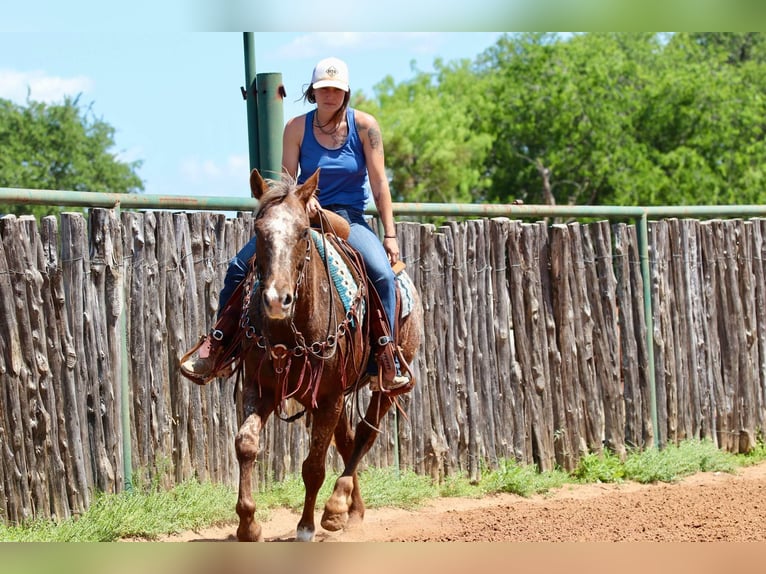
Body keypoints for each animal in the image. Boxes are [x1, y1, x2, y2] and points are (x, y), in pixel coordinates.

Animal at [234, 168, 422, 542]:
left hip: (382, 387)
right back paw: (353, 511)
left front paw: (307, 526)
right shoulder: (261, 388)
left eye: (302, 232)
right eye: (258, 231)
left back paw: (337, 507)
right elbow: (246, 443)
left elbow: (314, 466)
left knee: (364, 435)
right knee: (348, 440)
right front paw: (248, 524)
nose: (276, 299)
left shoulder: (331, 395)